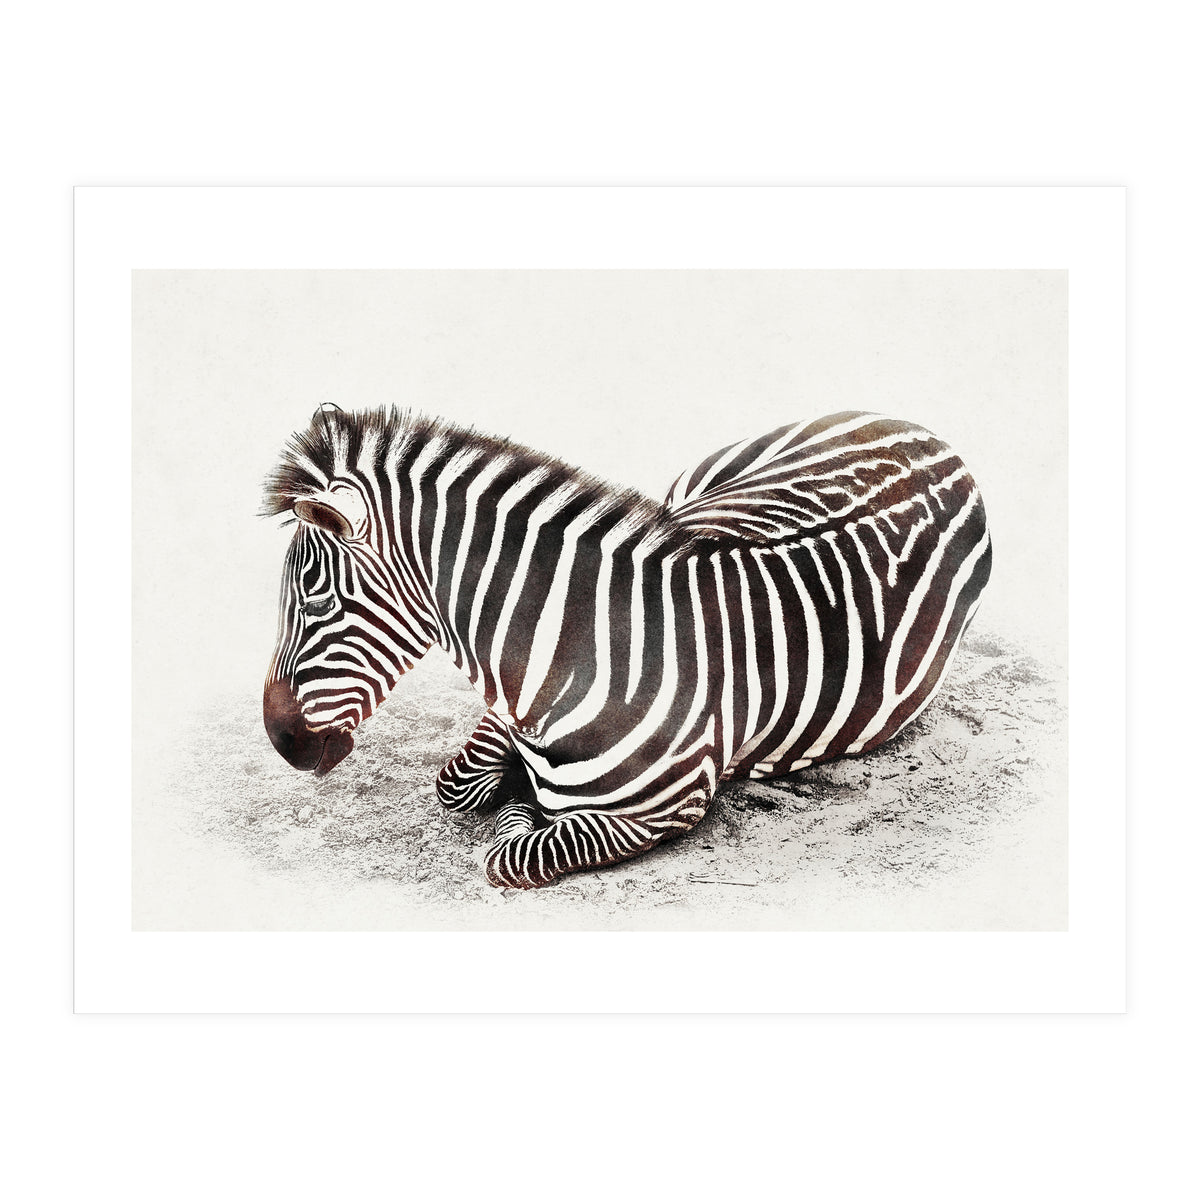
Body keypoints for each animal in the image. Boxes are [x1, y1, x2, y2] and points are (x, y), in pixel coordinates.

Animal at [263, 406, 991, 889]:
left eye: (317, 601)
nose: (281, 741)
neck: (584, 649)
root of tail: (936, 438)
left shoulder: (665, 808)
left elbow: (511, 851)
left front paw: (521, 804)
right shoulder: (506, 711)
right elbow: (458, 785)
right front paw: (513, 785)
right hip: (692, 491)